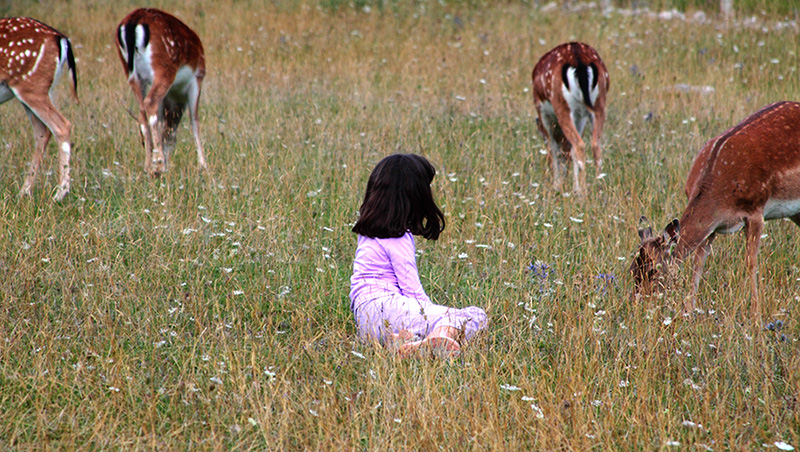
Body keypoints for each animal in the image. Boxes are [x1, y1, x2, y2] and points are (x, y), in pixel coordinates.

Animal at [0, 17, 77, 201]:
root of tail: (60, 37)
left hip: (32, 86)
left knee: (62, 126)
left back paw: (60, 193)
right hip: (33, 91)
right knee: (43, 132)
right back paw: (24, 191)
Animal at [115, 8, 207, 177]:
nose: (143, 143)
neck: (177, 95)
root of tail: (133, 21)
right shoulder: (197, 78)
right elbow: (194, 121)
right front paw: (203, 165)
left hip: (132, 74)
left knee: (142, 111)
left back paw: (148, 165)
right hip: (163, 68)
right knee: (150, 102)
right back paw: (158, 164)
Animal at [532, 42, 609, 195]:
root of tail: (579, 61)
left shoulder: (542, 113)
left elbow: (552, 150)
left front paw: (556, 186)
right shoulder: (581, 117)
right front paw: (572, 186)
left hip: (563, 106)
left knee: (579, 145)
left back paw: (582, 192)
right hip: (599, 104)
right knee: (595, 146)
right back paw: (598, 187)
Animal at [631, 101, 800, 317]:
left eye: (653, 270)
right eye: (632, 269)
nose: (637, 304)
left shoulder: (755, 210)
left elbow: (750, 263)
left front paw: (755, 316)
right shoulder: (712, 226)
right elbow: (698, 262)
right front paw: (689, 311)